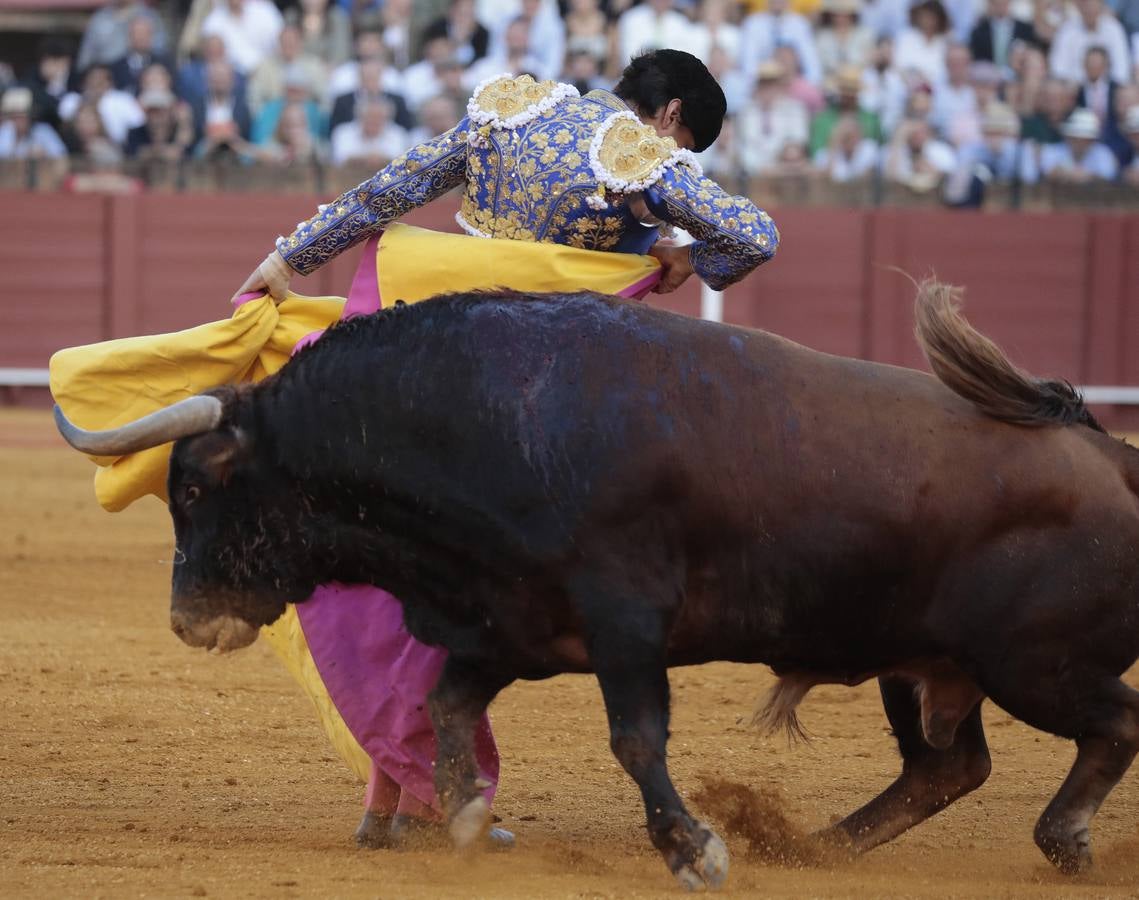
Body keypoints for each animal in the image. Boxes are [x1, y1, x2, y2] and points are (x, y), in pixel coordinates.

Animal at [55, 285, 1139, 893]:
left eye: (196, 486)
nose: (186, 620)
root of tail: (1107, 454)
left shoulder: (625, 622)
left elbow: (634, 738)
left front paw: (693, 851)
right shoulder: (505, 624)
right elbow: (446, 706)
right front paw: (461, 821)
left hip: (1034, 661)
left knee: (1109, 725)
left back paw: (1062, 841)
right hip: (916, 663)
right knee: (946, 768)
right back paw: (818, 848)